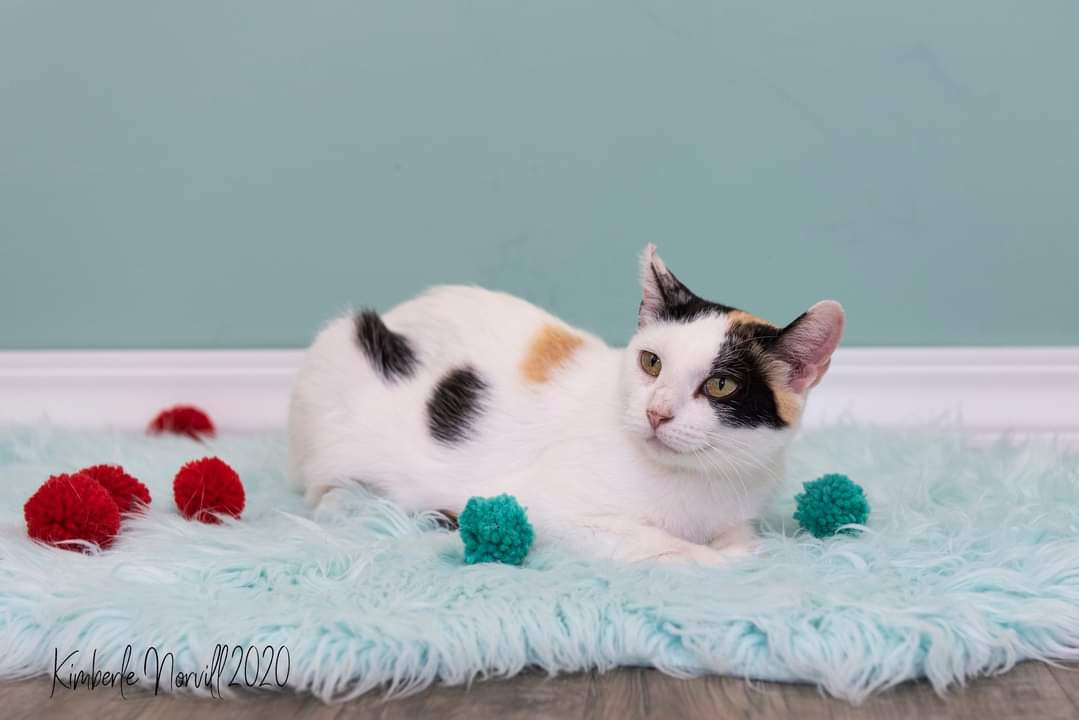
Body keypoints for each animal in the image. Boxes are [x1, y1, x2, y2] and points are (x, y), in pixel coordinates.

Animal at [288, 245, 844, 564]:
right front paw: (719, 562)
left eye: (722, 386)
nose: (656, 413)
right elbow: (656, 542)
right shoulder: (548, 506)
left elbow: (742, 536)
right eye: (651, 362)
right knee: (323, 493)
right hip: (341, 358)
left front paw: (737, 547)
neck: (698, 481)